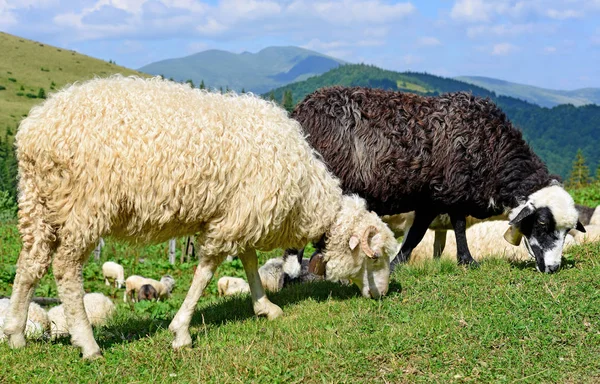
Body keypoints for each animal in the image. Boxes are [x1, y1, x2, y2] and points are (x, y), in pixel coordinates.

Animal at [4, 76, 400, 360]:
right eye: (374, 257)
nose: (381, 295)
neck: (305, 192)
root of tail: (34, 132)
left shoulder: (240, 213)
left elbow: (249, 261)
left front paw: (265, 308)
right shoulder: (233, 219)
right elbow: (206, 272)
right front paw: (181, 332)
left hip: (39, 203)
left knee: (30, 263)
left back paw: (15, 334)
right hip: (85, 206)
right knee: (65, 269)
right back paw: (88, 344)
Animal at [292, 87, 584, 272]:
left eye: (567, 230)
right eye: (543, 224)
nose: (553, 268)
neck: (492, 149)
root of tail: (299, 111)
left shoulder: (430, 199)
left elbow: (416, 235)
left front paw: (398, 263)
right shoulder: (453, 191)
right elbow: (459, 226)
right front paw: (467, 261)